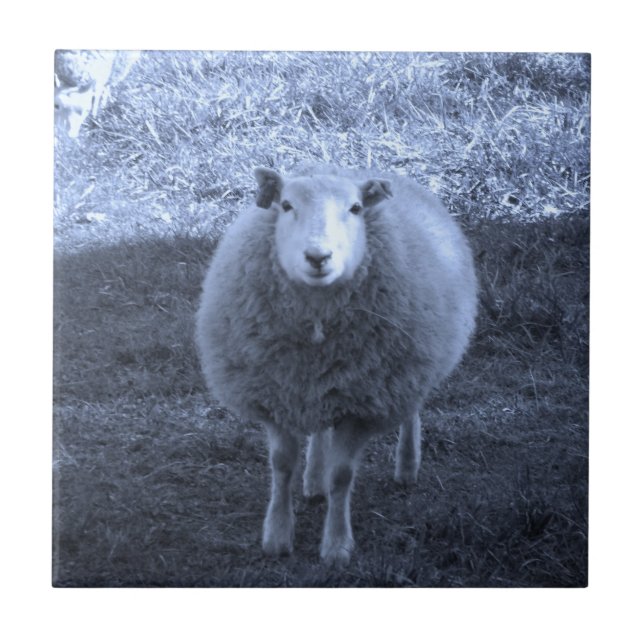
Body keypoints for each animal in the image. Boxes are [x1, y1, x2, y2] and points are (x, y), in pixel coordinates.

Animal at [195, 165, 478, 565]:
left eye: (355, 208)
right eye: (286, 205)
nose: (318, 257)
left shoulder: (362, 405)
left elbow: (342, 475)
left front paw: (337, 545)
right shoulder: (278, 395)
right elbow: (281, 465)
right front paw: (277, 535)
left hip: (409, 368)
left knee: (410, 411)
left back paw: (407, 466)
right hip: (323, 387)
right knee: (318, 431)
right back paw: (313, 481)